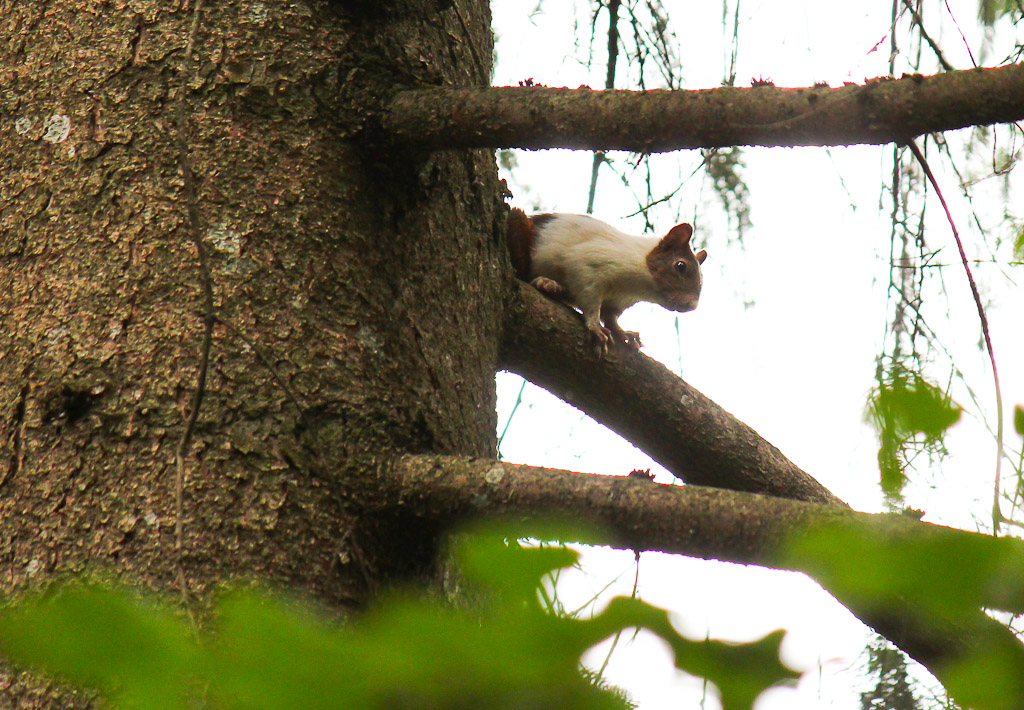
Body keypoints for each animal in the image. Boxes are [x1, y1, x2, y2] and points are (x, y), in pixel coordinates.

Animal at [507, 207, 708, 354]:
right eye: (680, 266)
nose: (691, 305)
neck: (639, 286)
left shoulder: (619, 301)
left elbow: (610, 317)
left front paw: (624, 333)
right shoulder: (589, 265)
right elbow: (590, 299)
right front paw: (595, 326)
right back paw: (546, 283)